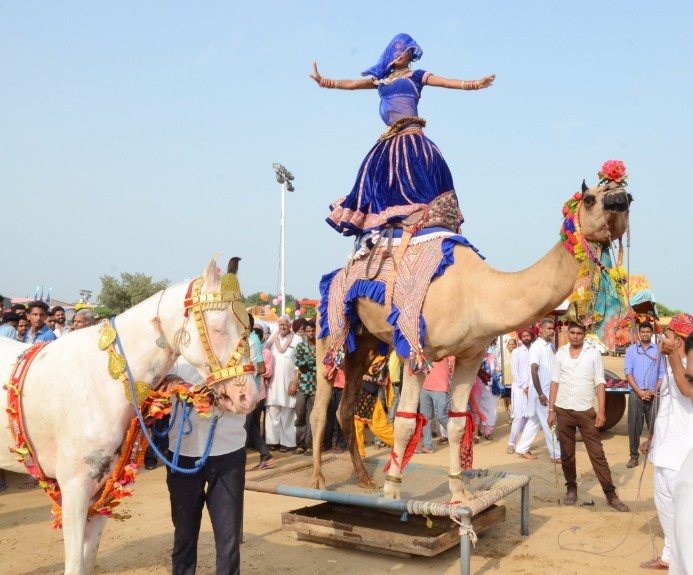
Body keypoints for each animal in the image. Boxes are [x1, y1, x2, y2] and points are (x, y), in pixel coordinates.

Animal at [0, 256, 258, 575]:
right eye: (219, 328)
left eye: (246, 329)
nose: (248, 396)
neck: (102, 381)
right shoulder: (73, 489)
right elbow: (75, 565)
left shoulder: (102, 488)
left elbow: (87, 561)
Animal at [310, 179, 628, 500]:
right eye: (590, 199)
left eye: (629, 197)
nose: (619, 198)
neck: (477, 293)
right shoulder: (415, 351)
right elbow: (404, 422)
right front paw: (392, 492)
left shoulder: (469, 356)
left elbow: (458, 424)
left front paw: (460, 492)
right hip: (330, 327)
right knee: (321, 408)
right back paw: (319, 480)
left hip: (365, 343)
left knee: (345, 407)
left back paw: (364, 478)